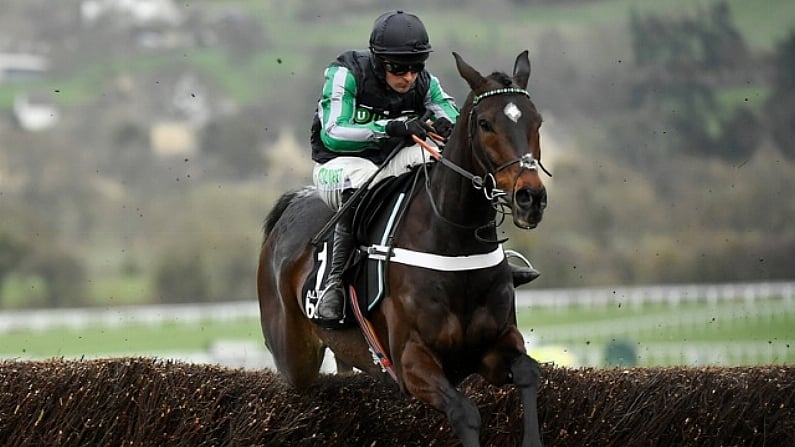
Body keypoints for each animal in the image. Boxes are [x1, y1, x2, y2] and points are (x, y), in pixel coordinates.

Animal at [258, 50, 552, 447]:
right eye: (486, 123)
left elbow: (528, 372)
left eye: (537, 122)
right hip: (294, 355)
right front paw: (406, 126)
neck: (453, 243)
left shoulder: (492, 347)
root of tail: (293, 203)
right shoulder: (411, 361)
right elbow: (465, 413)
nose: (530, 198)